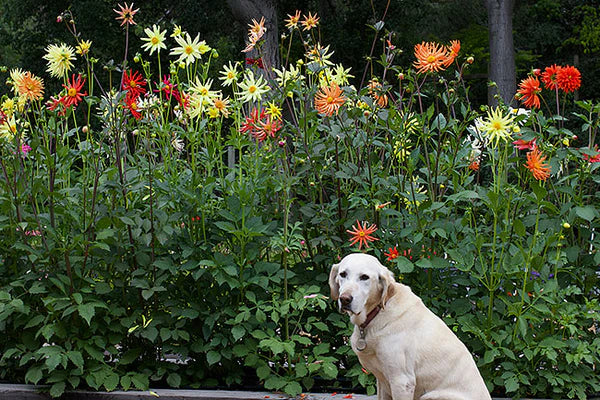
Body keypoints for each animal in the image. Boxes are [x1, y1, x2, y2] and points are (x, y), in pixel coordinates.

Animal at [328, 255, 492, 400]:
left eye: (364, 277)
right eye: (343, 274)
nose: (345, 299)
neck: (376, 314)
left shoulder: (402, 381)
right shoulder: (382, 381)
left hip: (431, 396)